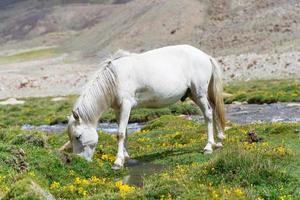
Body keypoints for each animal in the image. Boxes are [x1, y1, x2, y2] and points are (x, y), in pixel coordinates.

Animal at [61, 44, 225, 170]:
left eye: (78, 136)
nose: (79, 161)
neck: (115, 78)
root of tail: (205, 56)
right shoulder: (118, 109)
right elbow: (125, 132)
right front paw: (126, 157)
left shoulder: (126, 105)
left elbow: (120, 133)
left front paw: (117, 162)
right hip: (195, 95)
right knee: (213, 110)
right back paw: (219, 141)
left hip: (199, 94)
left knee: (208, 114)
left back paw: (208, 146)